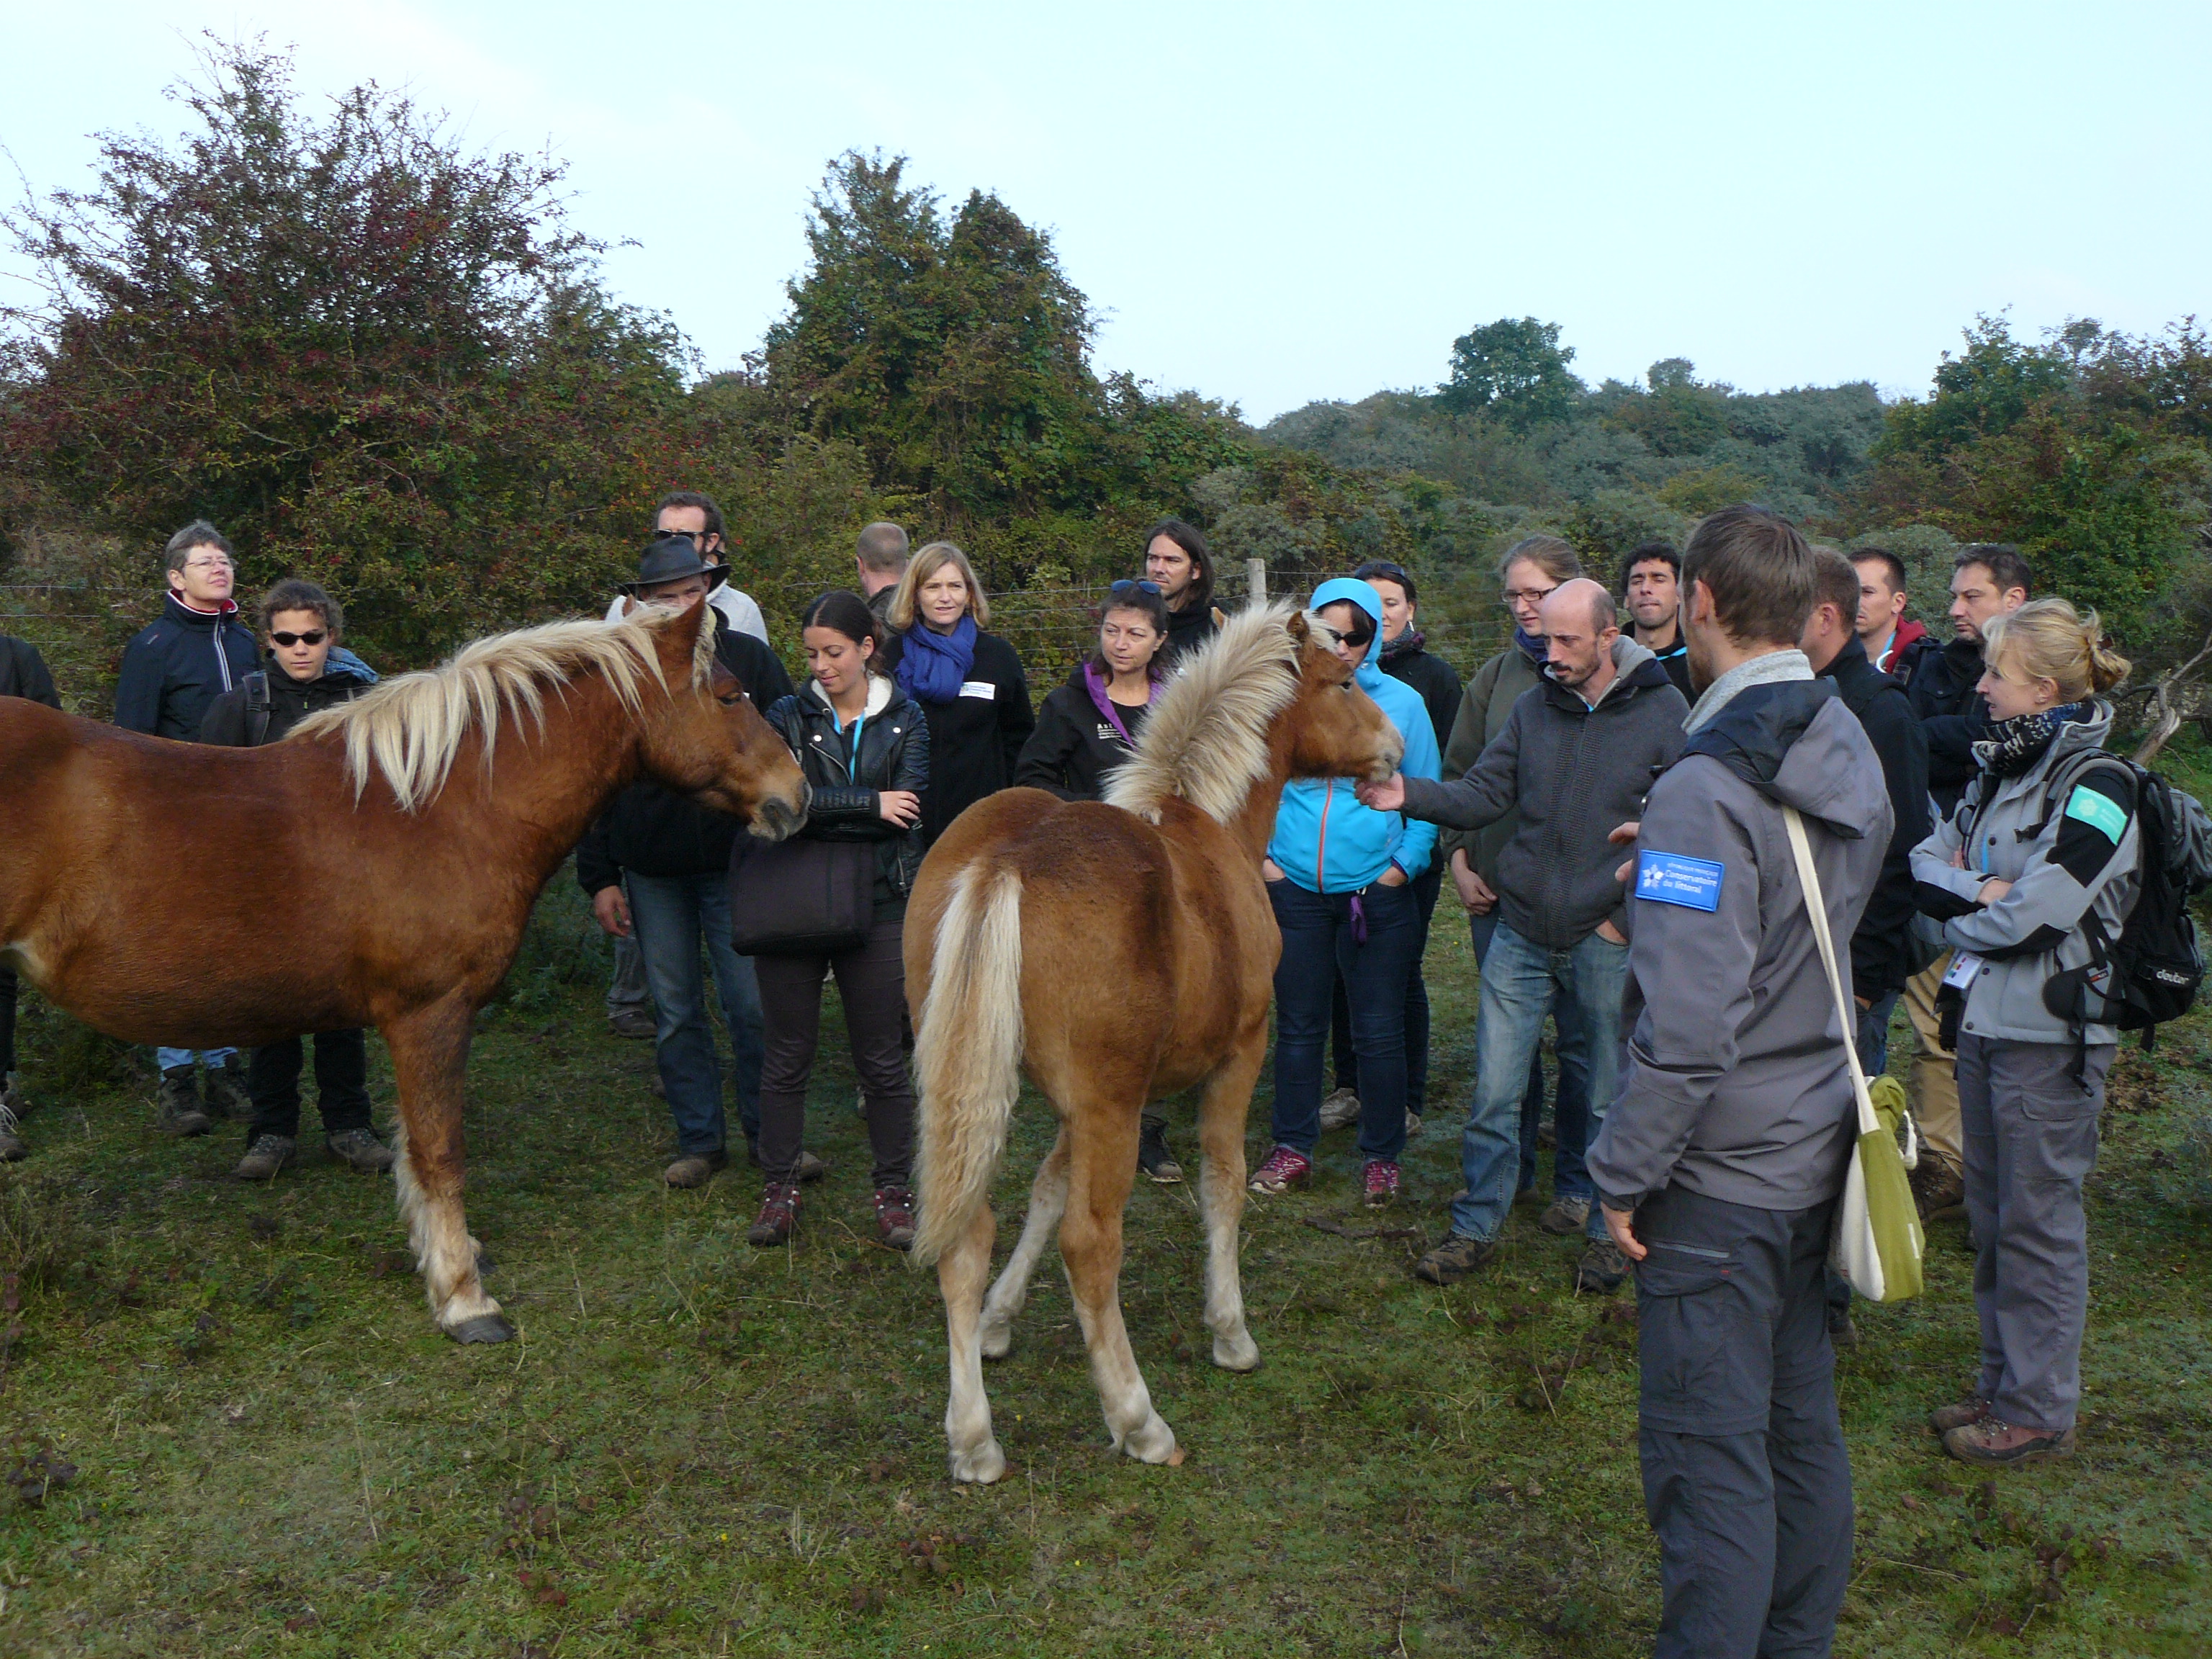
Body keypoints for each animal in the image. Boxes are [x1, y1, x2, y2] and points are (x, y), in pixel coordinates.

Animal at [0, 606, 814, 1344]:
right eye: (730, 695)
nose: (797, 796)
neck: (441, 806)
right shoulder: (431, 1012)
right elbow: (437, 1151)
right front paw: (464, 1298)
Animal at [902, 606, 1398, 1486]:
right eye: (1345, 681)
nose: (1395, 749)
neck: (1208, 824)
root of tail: (1010, 861)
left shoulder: (1083, 1104)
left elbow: (1045, 1189)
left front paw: (998, 1321)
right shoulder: (1234, 1057)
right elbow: (1222, 1181)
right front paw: (1230, 1331)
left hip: (977, 1091)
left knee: (966, 1233)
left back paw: (973, 1438)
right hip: (1113, 1107)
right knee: (1093, 1245)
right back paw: (1139, 1421)